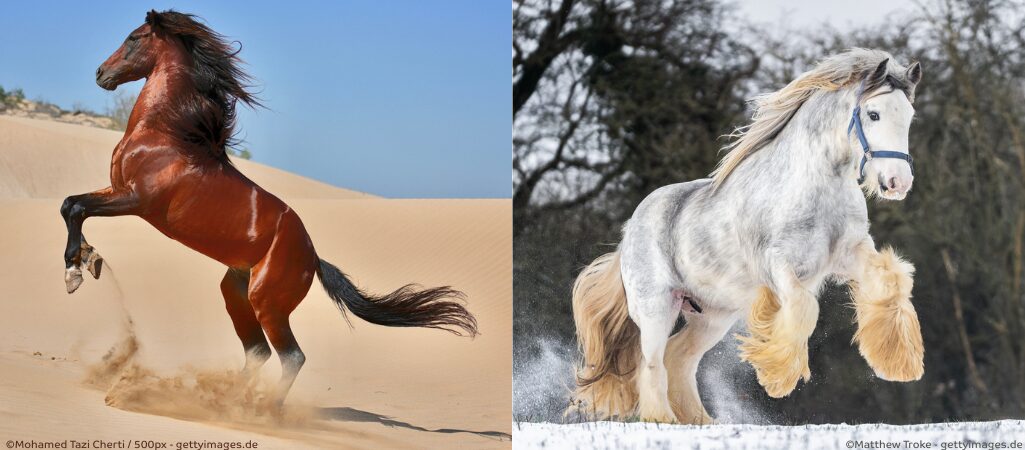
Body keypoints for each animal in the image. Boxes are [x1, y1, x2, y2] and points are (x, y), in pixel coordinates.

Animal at [60, 10, 478, 404]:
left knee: (291, 356)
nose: (101, 73)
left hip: (268, 304)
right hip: (237, 292)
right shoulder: (116, 190)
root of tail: (313, 258)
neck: (165, 135)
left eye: (134, 38)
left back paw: (261, 411)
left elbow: (76, 208)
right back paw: (223, 401)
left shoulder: (136, 200)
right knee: (258, 351)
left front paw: (75, 272)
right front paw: (88, 259)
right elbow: (71, 205)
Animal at [571, 49, 925, 424]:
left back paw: (701, 422)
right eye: (873, 114)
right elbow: (803, 309)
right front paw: (777, 378)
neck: (815, 187)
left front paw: (899, 363)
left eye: (908, 116)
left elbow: (889, 282)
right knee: (650, 364)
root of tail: (628, 233)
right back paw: (663, 420)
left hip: (711, 316)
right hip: (656, 306)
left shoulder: (850, 254)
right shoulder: (778, 265)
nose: (898, 183)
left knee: (678, 358)